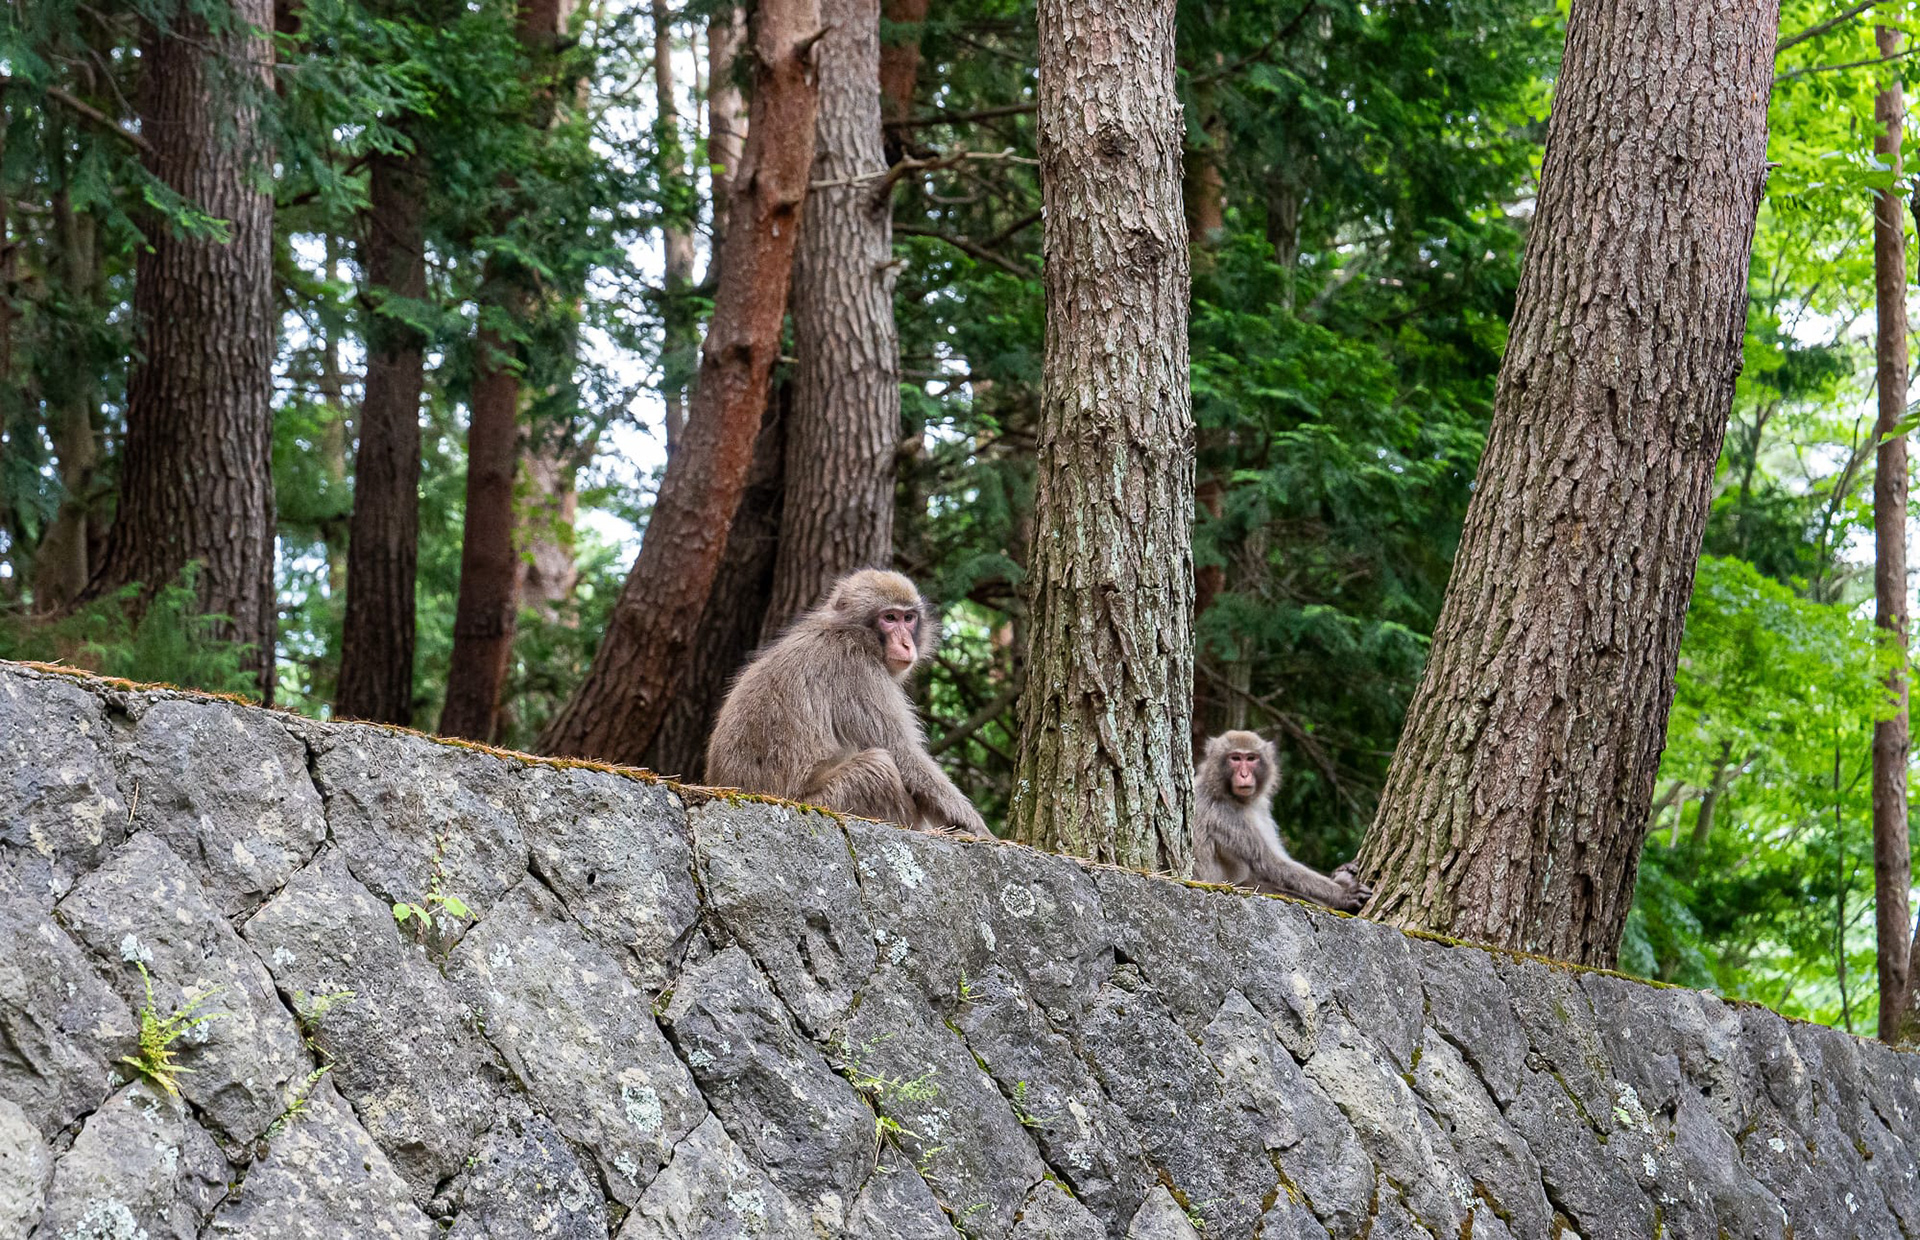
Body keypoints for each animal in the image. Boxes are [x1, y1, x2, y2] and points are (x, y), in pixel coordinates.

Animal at [704, 569, 987, 835]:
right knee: (879, 767)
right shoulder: (859, 670)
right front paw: (977, 828)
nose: (906, 644)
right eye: (889, 618)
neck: (849, 630)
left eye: (908, 618)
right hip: (827, 801)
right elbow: (902, 754)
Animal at [1193, 730, 1371, 912]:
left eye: (1250, 758)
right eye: (1235, 758)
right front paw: (1343, 894)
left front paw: (1341, 870)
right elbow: (1269, 864)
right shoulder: (1226, 814)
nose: (1244, 775)